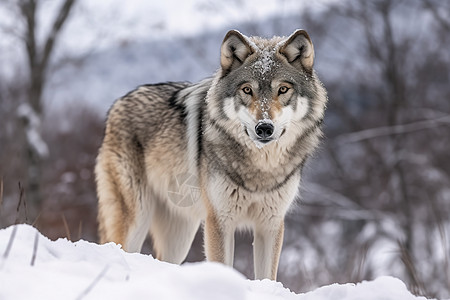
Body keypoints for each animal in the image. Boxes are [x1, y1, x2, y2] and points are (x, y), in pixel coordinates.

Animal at [96, 29, 326, 280]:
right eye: (247, 90)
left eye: (283, 89)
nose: (264, 128)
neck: (261, 168)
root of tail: (117, 105)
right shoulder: (219, 220)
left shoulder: (271, 223)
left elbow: (267, 276)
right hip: (137, 219)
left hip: (180, 235)